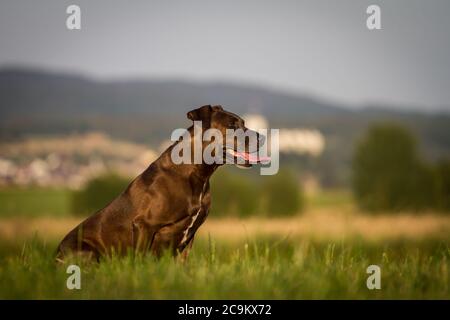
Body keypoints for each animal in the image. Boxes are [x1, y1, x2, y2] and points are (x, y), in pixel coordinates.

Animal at [56, 105, 268, 262]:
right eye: (232, 125)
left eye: (244, 123)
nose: (263, 136)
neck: (197, 173)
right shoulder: (144, 226)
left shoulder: (189, 238)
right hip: (87, 252)